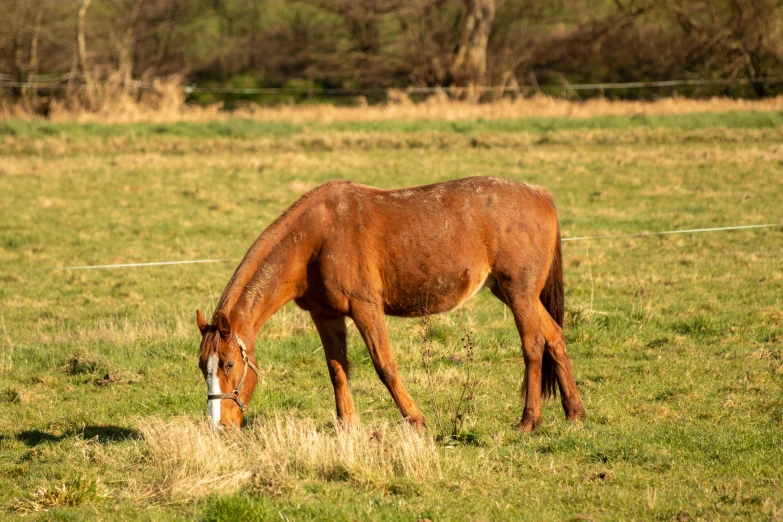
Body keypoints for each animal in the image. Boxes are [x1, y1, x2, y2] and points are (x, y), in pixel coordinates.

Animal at [199, 177, 584, 428]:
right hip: (513, 293)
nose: (219, 425)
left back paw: (529, 420)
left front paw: (415, 418)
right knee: (554, 336)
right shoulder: (326, 315)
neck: (316, 238)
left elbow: (384, 365)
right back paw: (574, 412)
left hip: (519, 294)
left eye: (229, 364)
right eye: (203, 366)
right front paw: (347, 425)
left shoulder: (365, 308)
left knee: (533, 344)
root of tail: (541, 195)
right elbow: (337, 369)